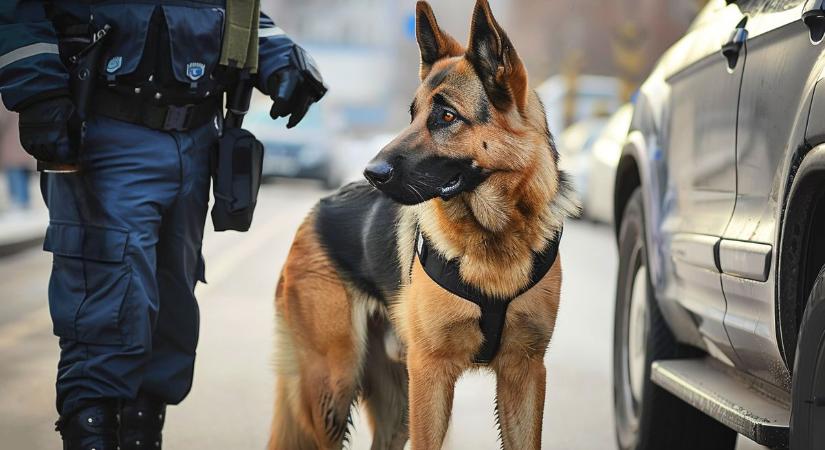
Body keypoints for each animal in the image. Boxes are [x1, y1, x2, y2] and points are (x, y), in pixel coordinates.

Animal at [268, 1, 572, 448]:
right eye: (412, 115)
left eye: (446, 116)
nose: (371, 173)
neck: (494, 236)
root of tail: (315, 212)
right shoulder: (432, 373)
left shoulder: (525, 373)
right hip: (334, 386)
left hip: (397, 405)